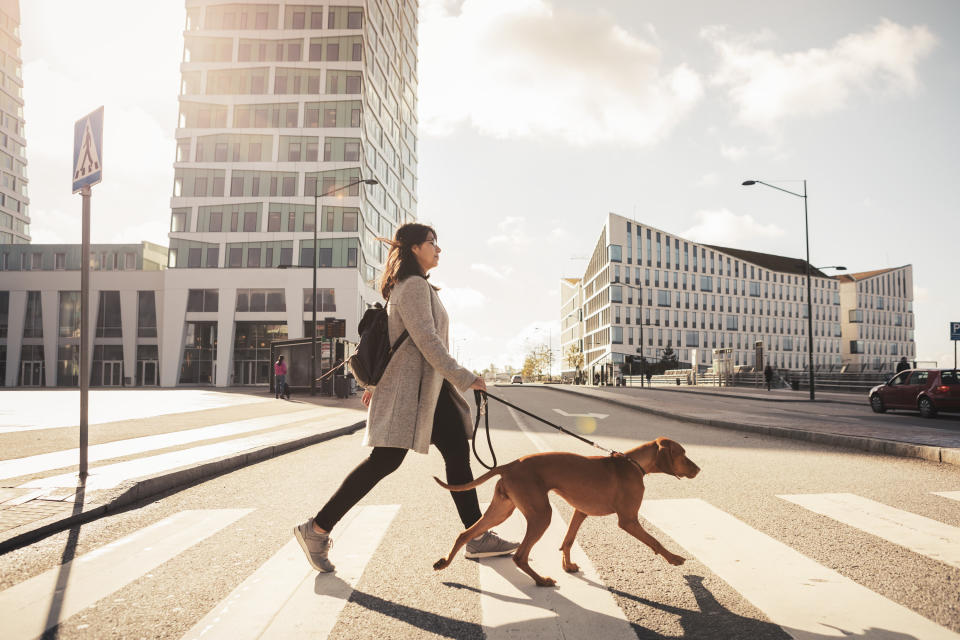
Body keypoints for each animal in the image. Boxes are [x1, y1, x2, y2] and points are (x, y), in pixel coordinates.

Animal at [434, 438, 696, 588]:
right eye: (683, 454)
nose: (699, 469)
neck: (633, 464)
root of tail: (510, 465)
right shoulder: (628, 520)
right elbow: (655, 541)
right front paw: (674, 558)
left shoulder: (580, 512)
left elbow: (568, 540)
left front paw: (567, 564)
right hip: (541, 515)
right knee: (519, 556)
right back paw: (541, 581)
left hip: (501, 510)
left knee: (465, 534)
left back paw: (444, 562)